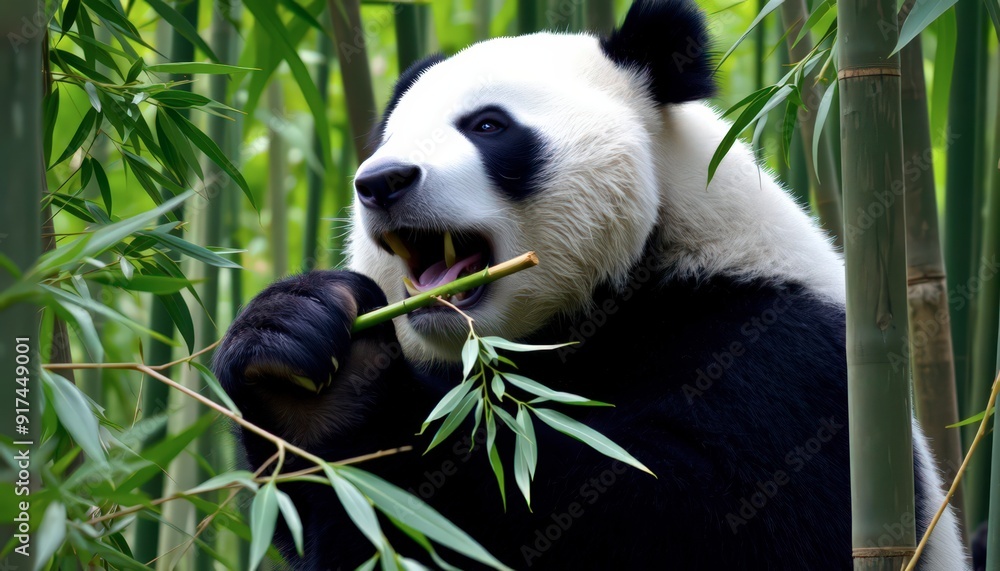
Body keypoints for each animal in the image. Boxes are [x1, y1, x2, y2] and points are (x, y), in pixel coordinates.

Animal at [213, 0, 972, 568]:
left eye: (487, 125)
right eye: (386, 141)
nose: (381, 181)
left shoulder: (780, 357)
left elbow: (679, 513)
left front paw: (349, 393)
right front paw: (299, 371)